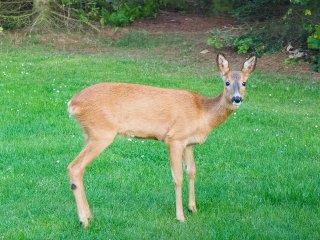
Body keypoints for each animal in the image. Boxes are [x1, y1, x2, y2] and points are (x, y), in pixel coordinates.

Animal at [67, 53, 258, 227]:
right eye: (226, 82)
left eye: (244, 83)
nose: (237, 98)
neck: (203, 112)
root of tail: (72, 103)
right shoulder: (174, 138)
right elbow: (177, 177)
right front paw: (180, 216)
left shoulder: (188, 144)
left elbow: (192, 171)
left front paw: (193, 208)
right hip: (101, 133)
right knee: (74, 167)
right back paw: (84, 220)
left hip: (90, 134)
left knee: (80, 168)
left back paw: (89, 216)